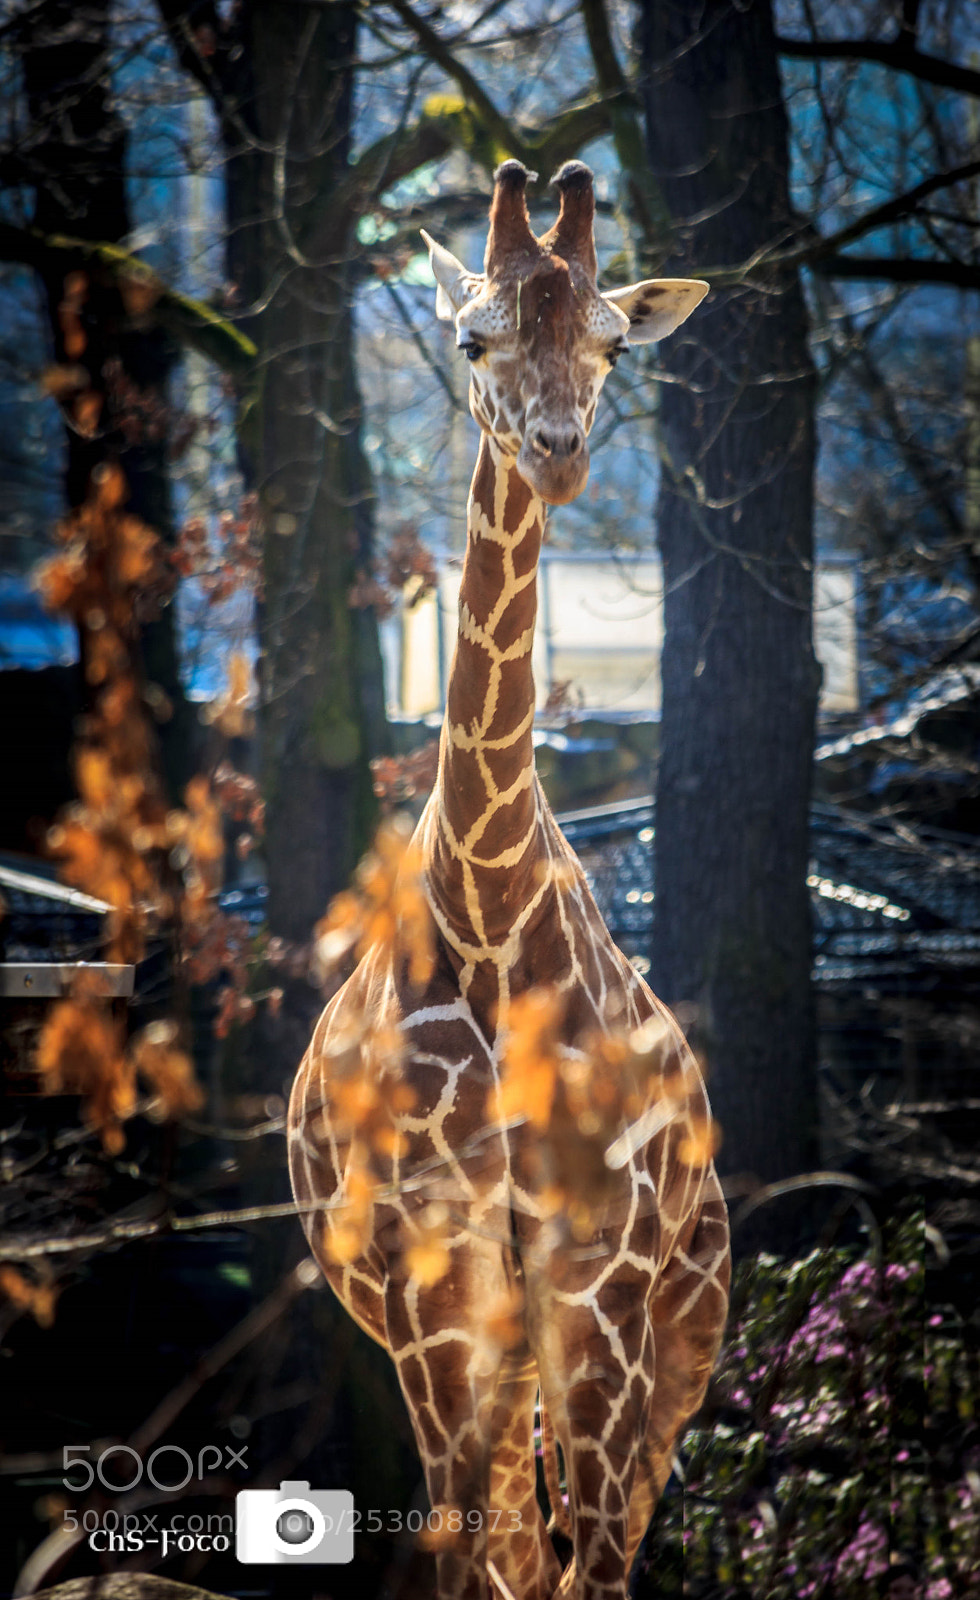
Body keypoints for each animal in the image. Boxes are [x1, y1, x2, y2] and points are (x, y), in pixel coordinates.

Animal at [288, 160, 731, 1600]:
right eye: (474, 340)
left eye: (609, 342)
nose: (559, 450)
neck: (487, 918)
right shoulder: (433, 1288)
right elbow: (475, 1556)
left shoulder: (595, 1282)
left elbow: (587, 1563)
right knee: (510, 1545)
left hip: (684, 1314)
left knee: (603, 1534)